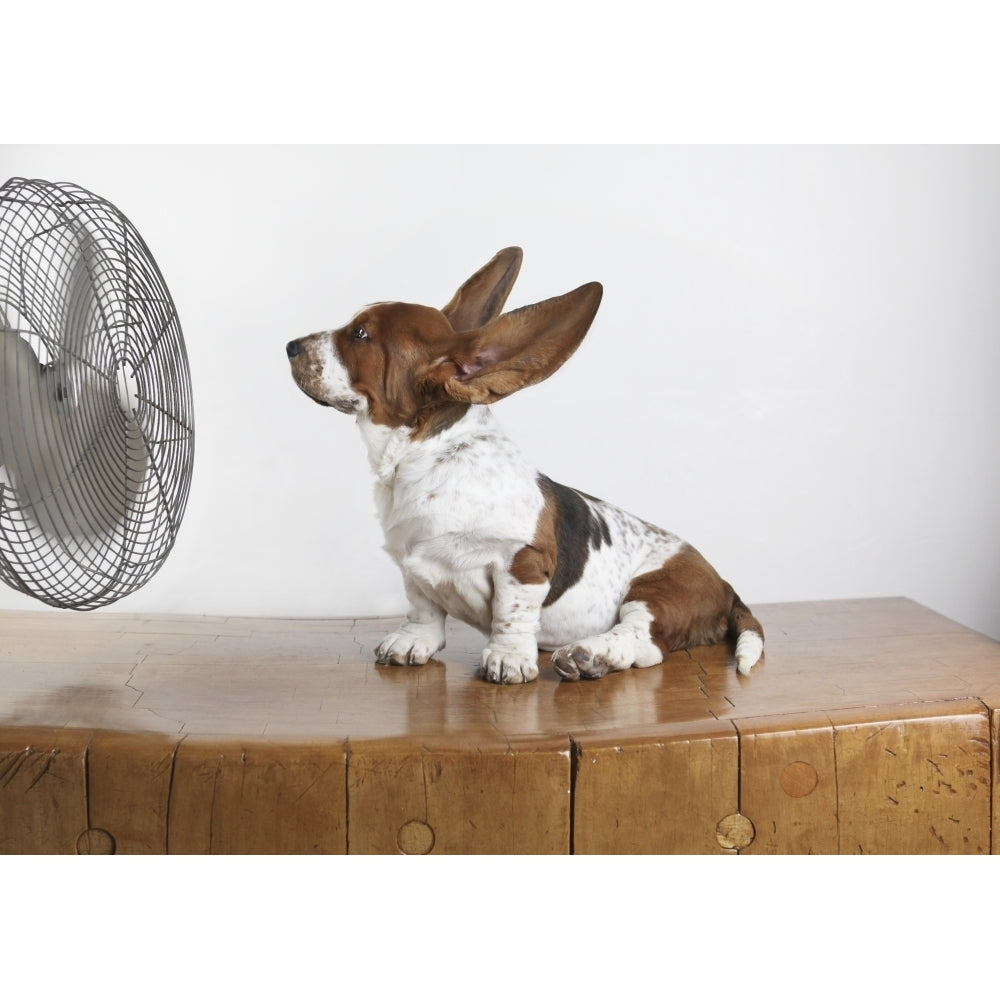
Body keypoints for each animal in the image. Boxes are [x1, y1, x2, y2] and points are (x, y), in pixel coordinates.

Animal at [286, 252, 760, 688]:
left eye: (360, 334)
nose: (290, 345)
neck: (426, 459)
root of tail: (725, 585)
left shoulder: (523, 564)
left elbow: (510, 616)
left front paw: (508, 659)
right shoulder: (411, 564)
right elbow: (423, 608)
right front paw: (412, 642)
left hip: (655, 592)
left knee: (643, 642)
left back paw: (589, 656)